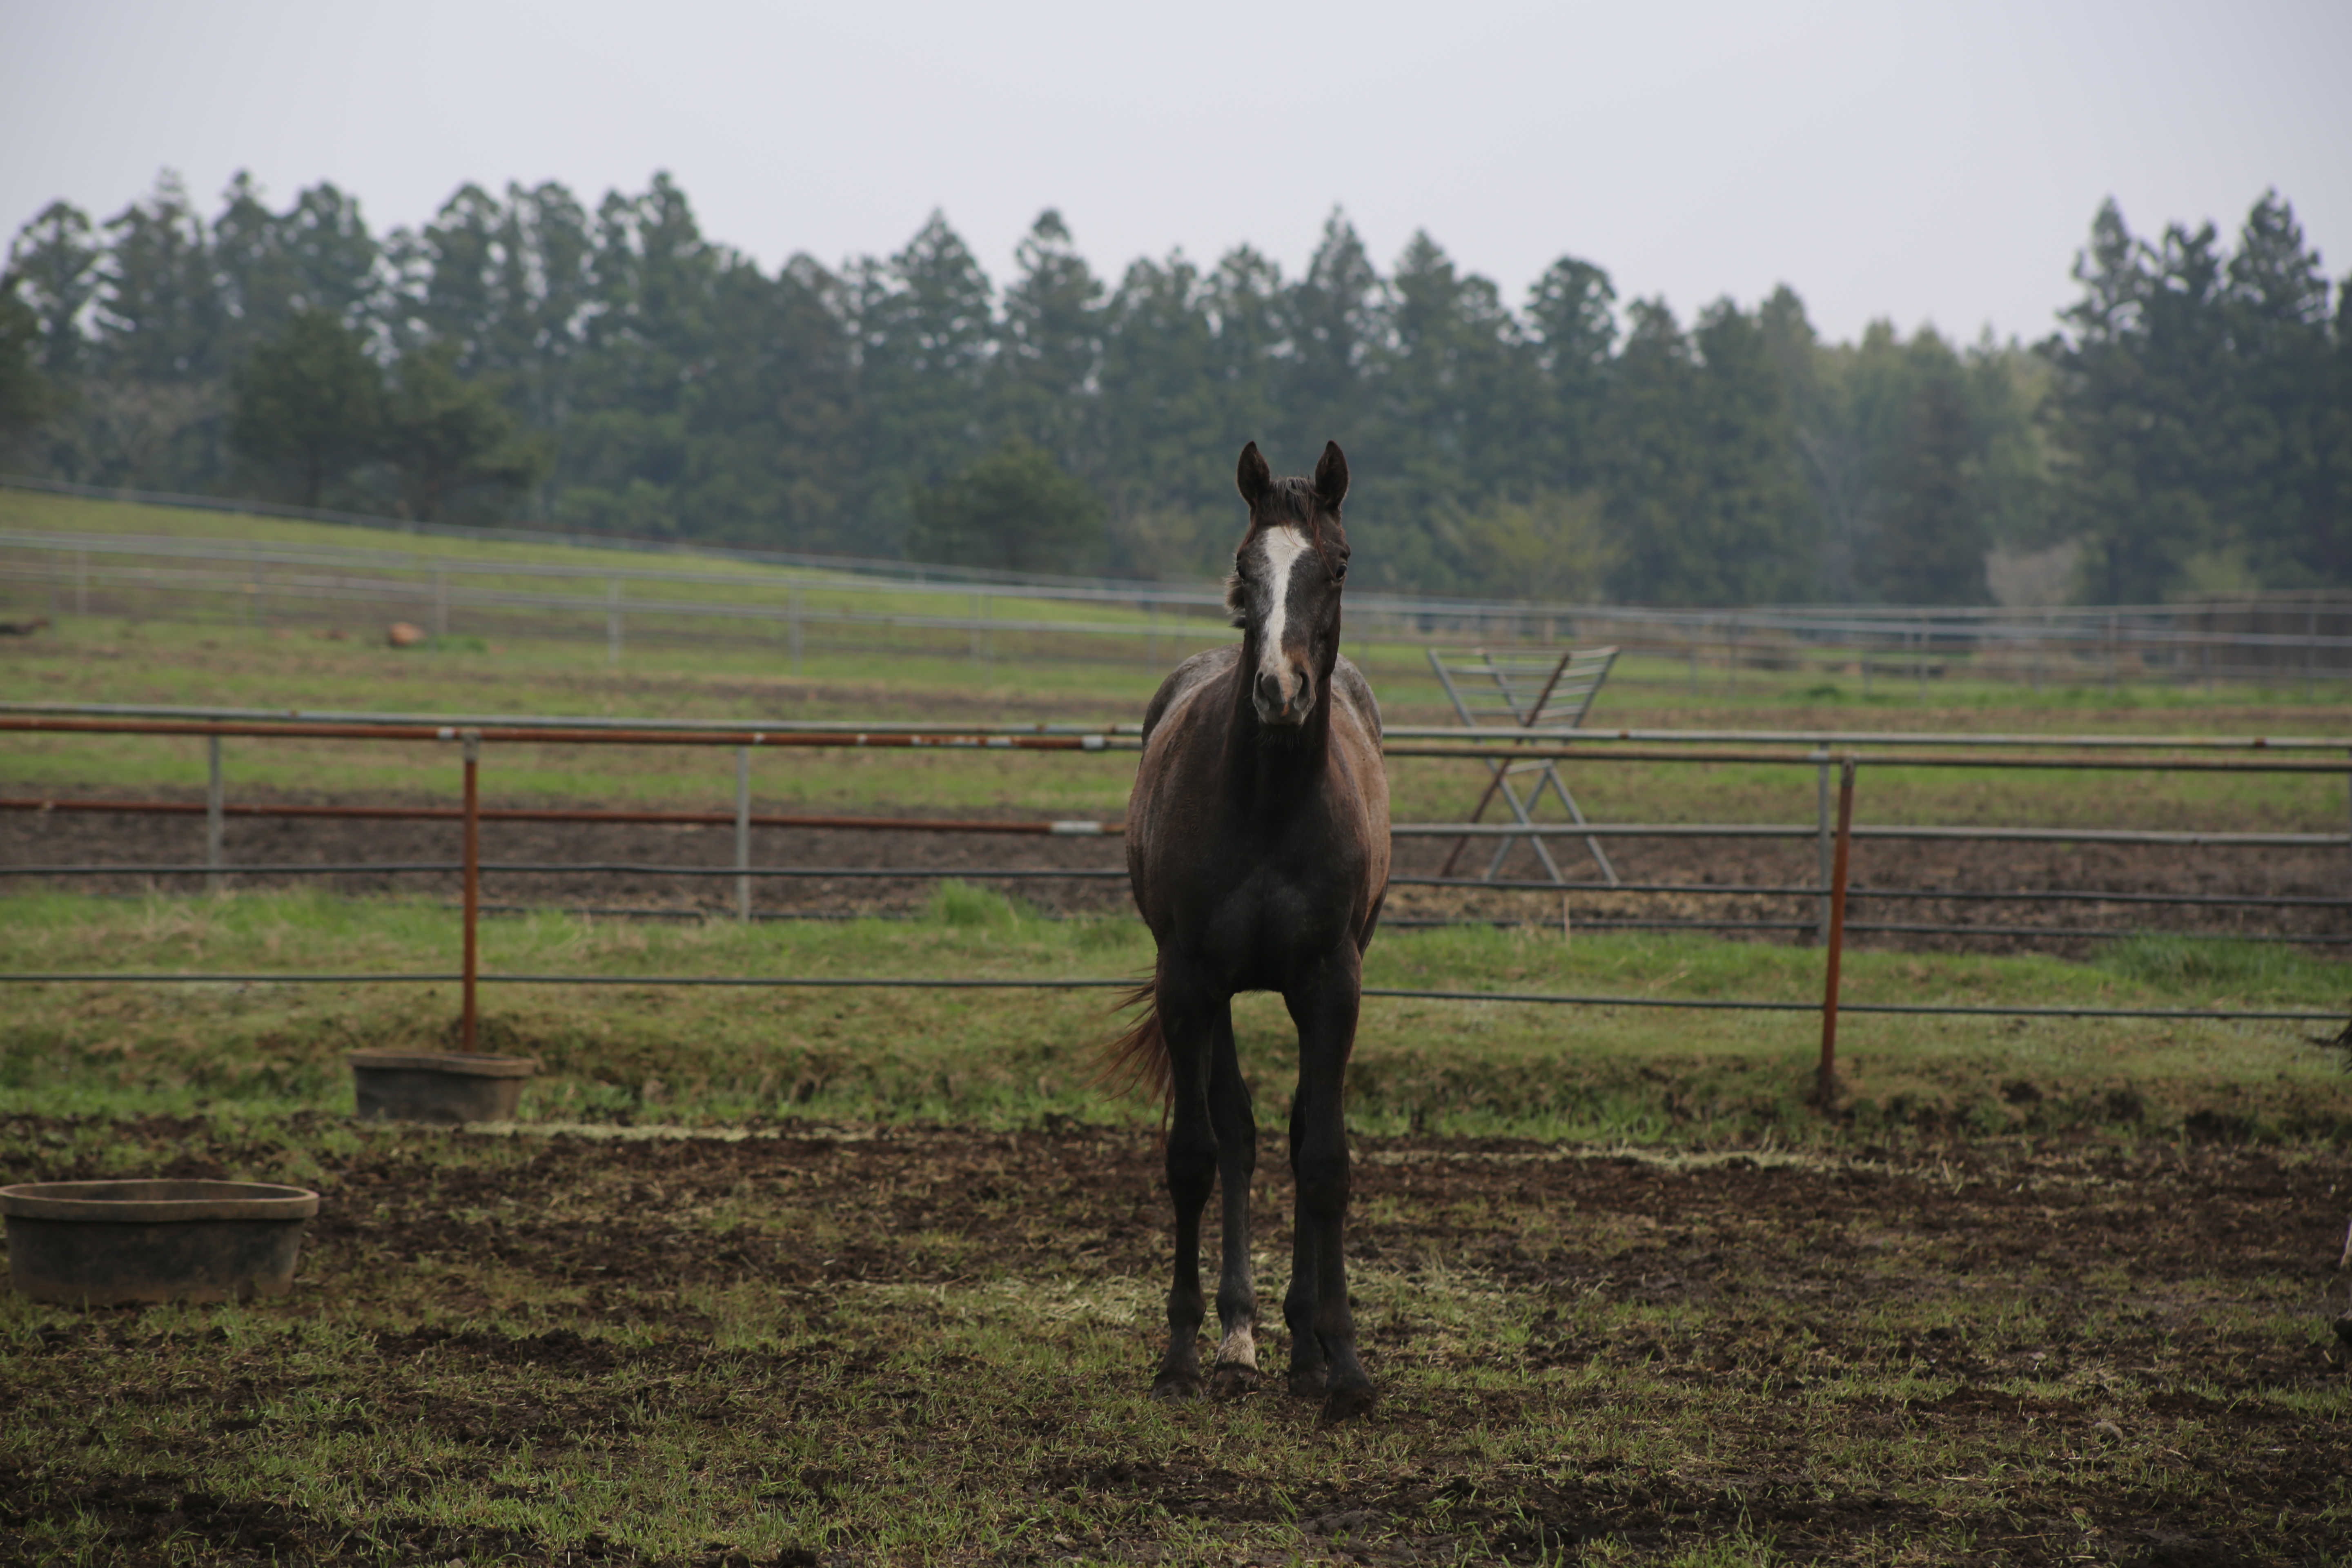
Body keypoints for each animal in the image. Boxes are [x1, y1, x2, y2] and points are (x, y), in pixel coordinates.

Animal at [1110, 439, 1383, 1420]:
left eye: (1337, 564)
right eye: (1244, 563)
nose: (1279, 688)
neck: (1268, 805)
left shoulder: (1333, 985)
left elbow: (1326, 1160)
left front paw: (1343, 1361)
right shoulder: (1190, 981)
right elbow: (1198, 1153)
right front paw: (1183, 1351)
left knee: (1298, 1134)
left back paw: (1300, 1342)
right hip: (1218, 995)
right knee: (1238, 1133)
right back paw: (1240, 1333)